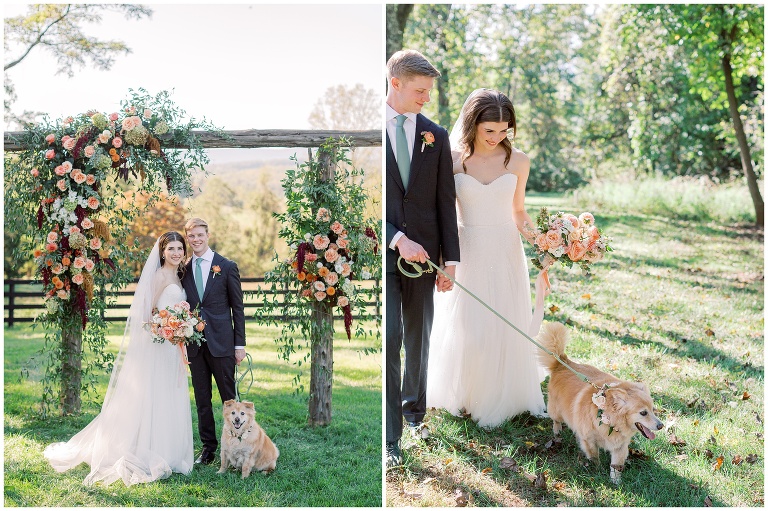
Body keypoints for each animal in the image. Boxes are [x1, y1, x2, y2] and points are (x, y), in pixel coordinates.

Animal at [536, 324, 664, 484]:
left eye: (653, 410)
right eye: (643, 413)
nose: (661, 425)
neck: (609, 419)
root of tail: (562, 363)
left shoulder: (620, 447)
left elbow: (616, 466)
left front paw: (616, 482)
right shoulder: (589, 440)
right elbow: (594, 456)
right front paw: (596, 469)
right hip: (556, 410)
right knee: (556, 420)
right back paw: (557, 431)